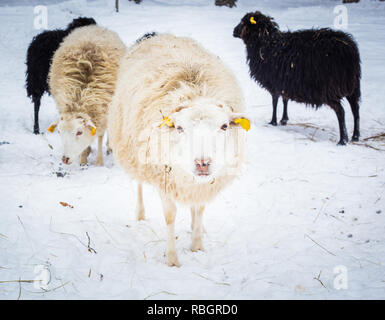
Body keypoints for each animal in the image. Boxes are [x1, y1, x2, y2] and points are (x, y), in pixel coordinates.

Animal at [46, 23, 124, 166]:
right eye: (59, 131)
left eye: (79, 132)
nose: (65, 159)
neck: (80, 96)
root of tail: (94, 27)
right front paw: (83, 159)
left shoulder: (103, 113)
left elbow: (100, 137)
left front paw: (99, 162)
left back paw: (109, 147)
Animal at [107, 33, 249, 268]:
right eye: (180, 128)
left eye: (224, 126)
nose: (202, 163)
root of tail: (161, 35)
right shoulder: (163, 177)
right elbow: (170, 216)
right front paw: (172, 259)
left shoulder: (202, 185)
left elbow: (199, 209)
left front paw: (197, 245)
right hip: (136, 153)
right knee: (139, 184)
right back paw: (140, 214)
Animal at [232, 10, 362, 144]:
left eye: (243, 22)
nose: (233, 31)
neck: (266, 42)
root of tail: (348, 50)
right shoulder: (284, 82)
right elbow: (285, 100)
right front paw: (284, 119)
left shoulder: (274, 82)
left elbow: (275, 102)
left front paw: (273, 121)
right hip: (353, 85)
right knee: (356, 109)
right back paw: (355, 136)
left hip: (329, 89)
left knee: (341, 111)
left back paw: (343, 140)